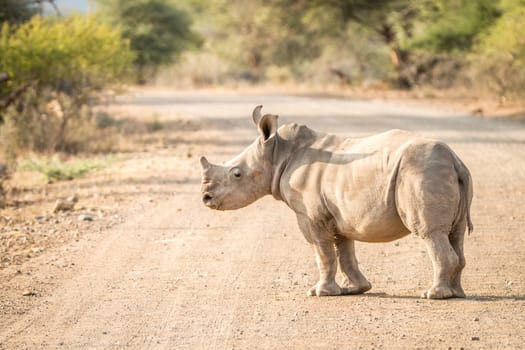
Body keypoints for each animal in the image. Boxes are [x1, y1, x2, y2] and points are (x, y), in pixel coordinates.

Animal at [199, 105, 472, 300]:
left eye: (236, 174)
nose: (205, 198)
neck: (277, 153)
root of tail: (456, 160)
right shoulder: (340, 214)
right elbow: (344, 251)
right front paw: (355, 289)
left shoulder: (312, 216)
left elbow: (323, 252)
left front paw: (320, 292)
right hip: (441, 171)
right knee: (455, 234)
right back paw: (456, 294)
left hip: (422, 171)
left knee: (430, 233)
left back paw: (433, 295)